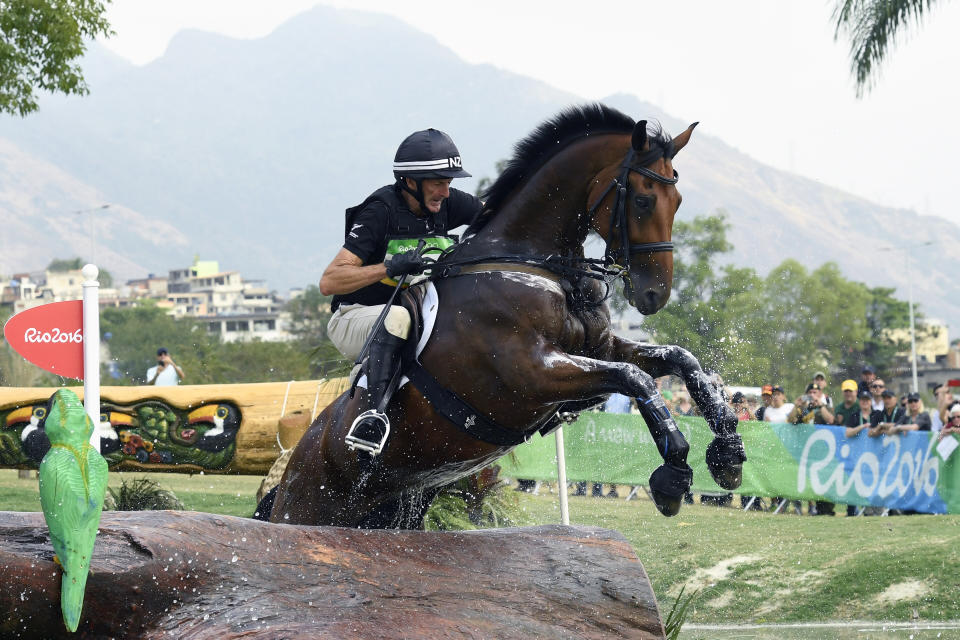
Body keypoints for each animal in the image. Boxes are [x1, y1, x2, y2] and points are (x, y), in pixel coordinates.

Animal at [264, 104, 752, 524]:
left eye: (679, 200)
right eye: (644, 201)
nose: (655, 295)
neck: (536, 265)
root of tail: (289, 467)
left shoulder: (600, 348)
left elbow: (681, 360)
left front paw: (728, 453)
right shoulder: (530, 372)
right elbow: (637, 379)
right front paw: (674, 476)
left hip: (394, 507)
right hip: (309, 505)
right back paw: (367, 430)